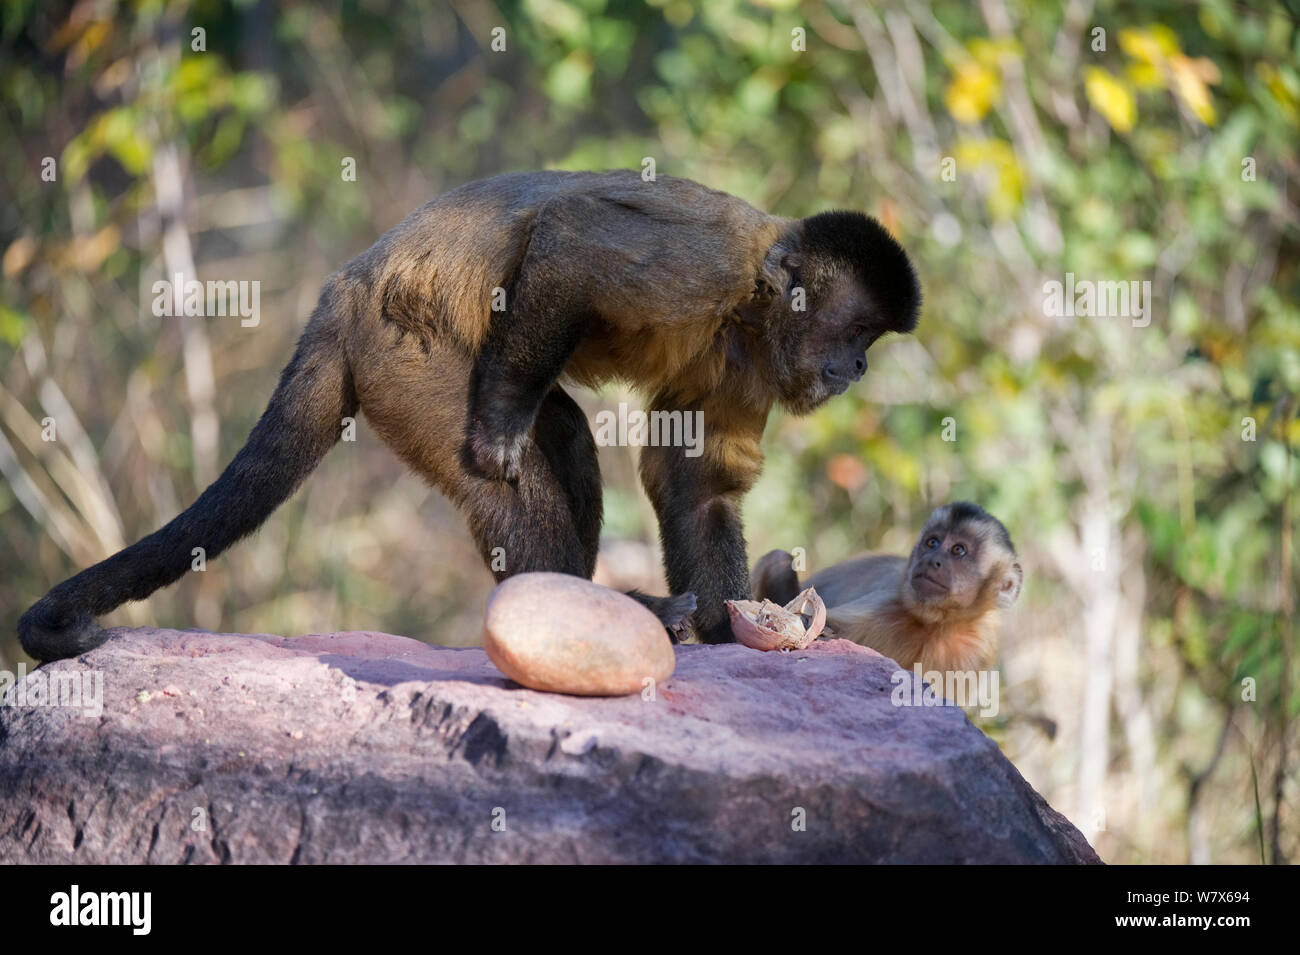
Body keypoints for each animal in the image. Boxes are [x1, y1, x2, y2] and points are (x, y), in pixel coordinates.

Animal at [15, 170, 920, 665]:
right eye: (853, 335)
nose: (859, 367)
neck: (753, 307)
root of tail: (347, 285)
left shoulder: (755, 362)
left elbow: (696, 485)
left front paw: (735, 623)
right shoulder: (712, 264)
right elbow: (575, 240)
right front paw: (502, 423)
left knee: (566, 440)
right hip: (403, 350)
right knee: (517, 455)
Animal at [754, 501, 1024, 670]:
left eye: (958, 550)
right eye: (932, 543)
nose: (931, 560)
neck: (936, 625)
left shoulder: (978, 645)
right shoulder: (886, 604)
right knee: (779, 560)